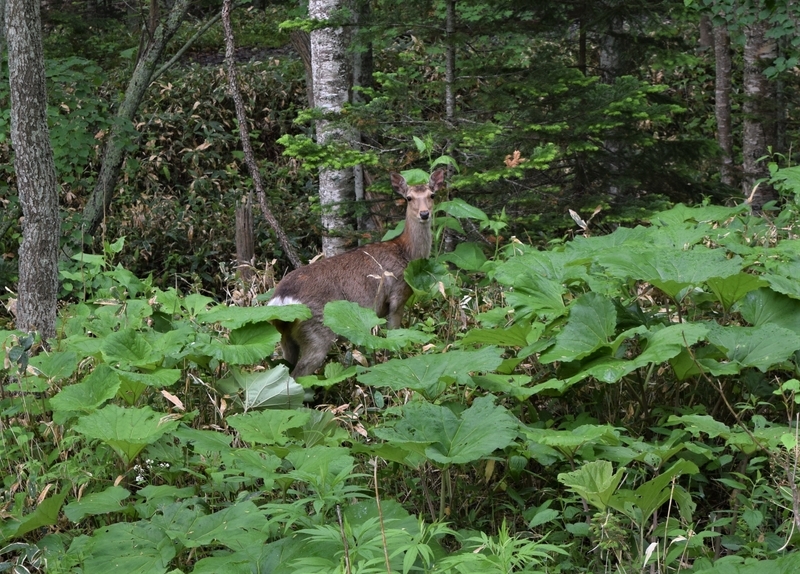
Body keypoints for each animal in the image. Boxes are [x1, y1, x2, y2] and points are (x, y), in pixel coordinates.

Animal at [268, 170, 444, 378]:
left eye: (432, 195)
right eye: (409, 198)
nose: (424, 214)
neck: (405, 252)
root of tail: (280, 299)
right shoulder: (397, 295)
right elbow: (392, 339)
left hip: (285, 336)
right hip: (317, 331)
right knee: (299, 373)